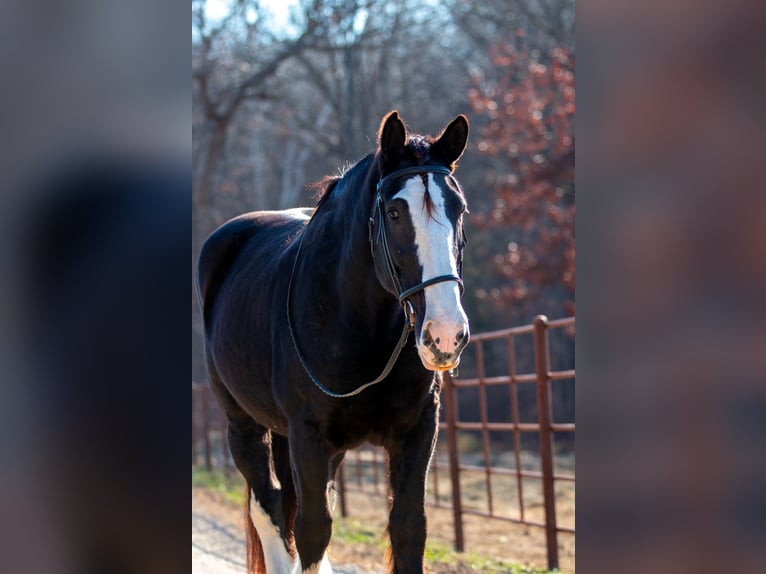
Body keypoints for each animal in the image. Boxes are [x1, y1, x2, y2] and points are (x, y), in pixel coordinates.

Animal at [196, 109, 474, 574]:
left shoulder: (418, 428)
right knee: (268, 506)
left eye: (459, 209)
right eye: (394, 212)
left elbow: (408, 527)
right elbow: (313, 529)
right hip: (243, 425)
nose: (445, 334)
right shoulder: (309, 435)